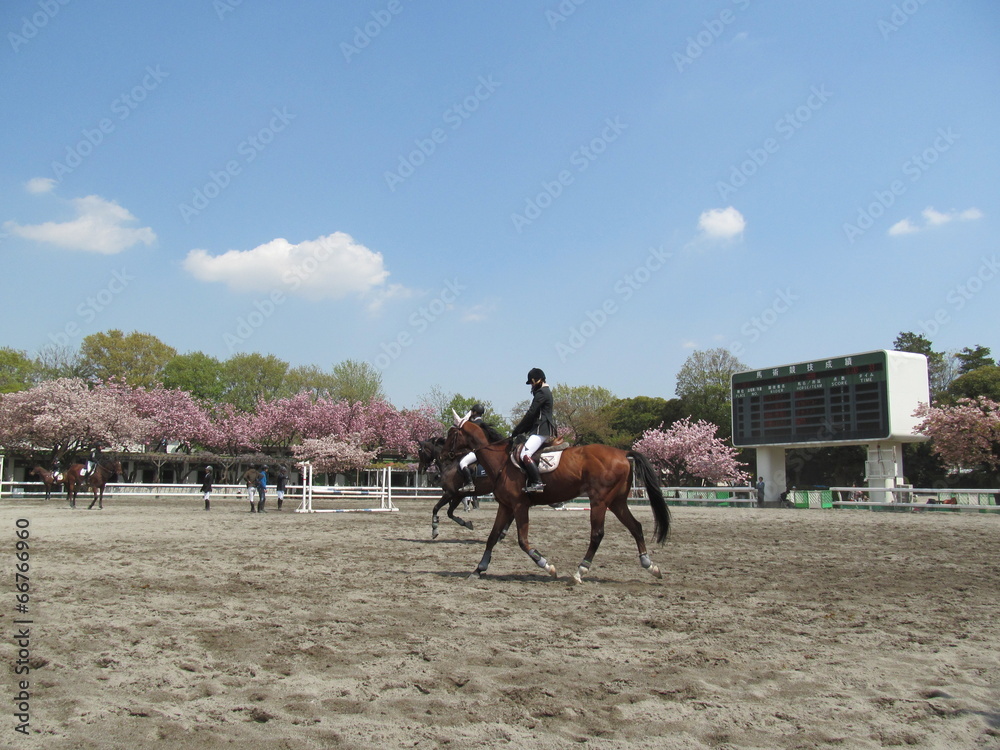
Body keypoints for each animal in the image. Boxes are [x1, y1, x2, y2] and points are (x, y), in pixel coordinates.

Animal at [444, 412, 671, 584]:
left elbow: (523, 541)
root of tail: (623, 453)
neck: (501, 462)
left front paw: (547, 566)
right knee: (635, 527)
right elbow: (492, 537)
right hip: (617, 502)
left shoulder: (519, 506)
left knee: (597, 534)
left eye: (452, 434)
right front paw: (478, 569)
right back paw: (650, 566)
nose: (446, 457)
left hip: (599, 502)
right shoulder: (506, 507)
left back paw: (580, 572)